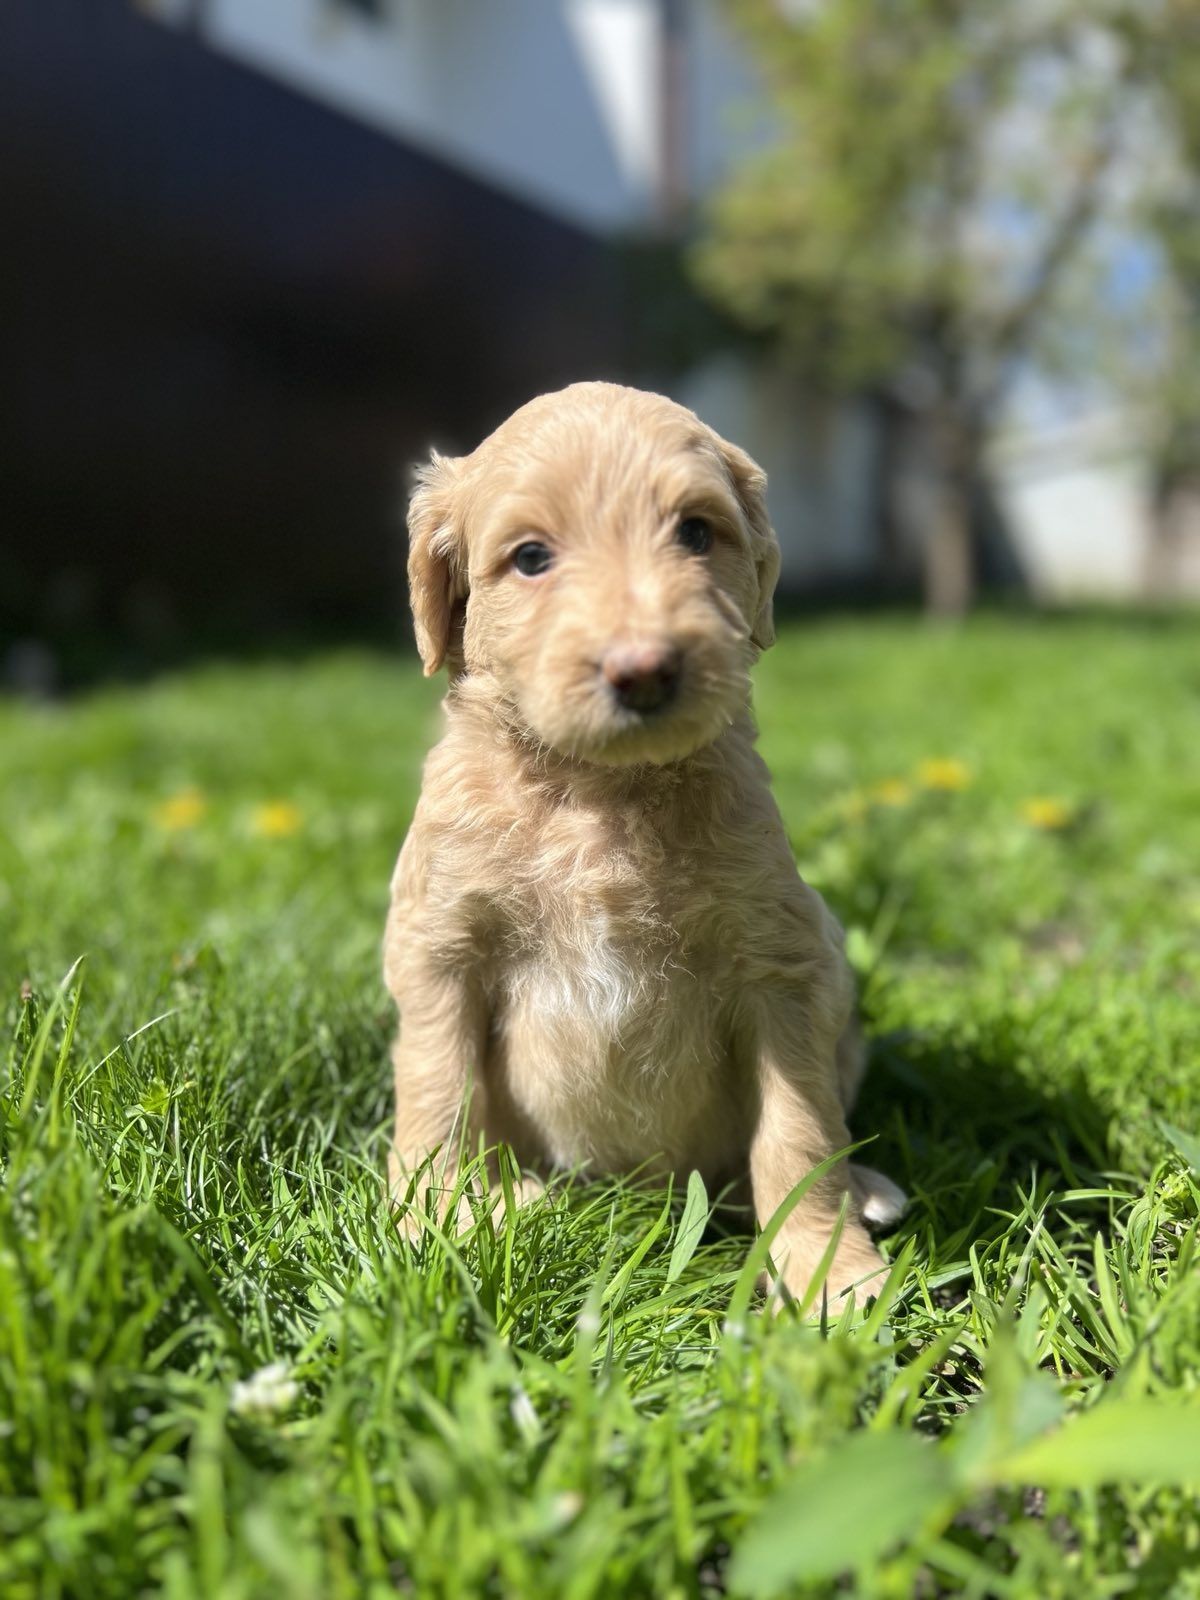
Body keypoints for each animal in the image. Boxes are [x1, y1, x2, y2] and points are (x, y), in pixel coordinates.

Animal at [390, 380, 908, 1305]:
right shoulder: (438, 945)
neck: (599, 792)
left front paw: (826, 1267)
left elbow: (800, 1132)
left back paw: (865, 1188)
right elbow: (437, 1088)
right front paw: (440, 1217)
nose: (644, 669)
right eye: (531, 557)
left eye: (696, 532)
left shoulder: (782, 963)